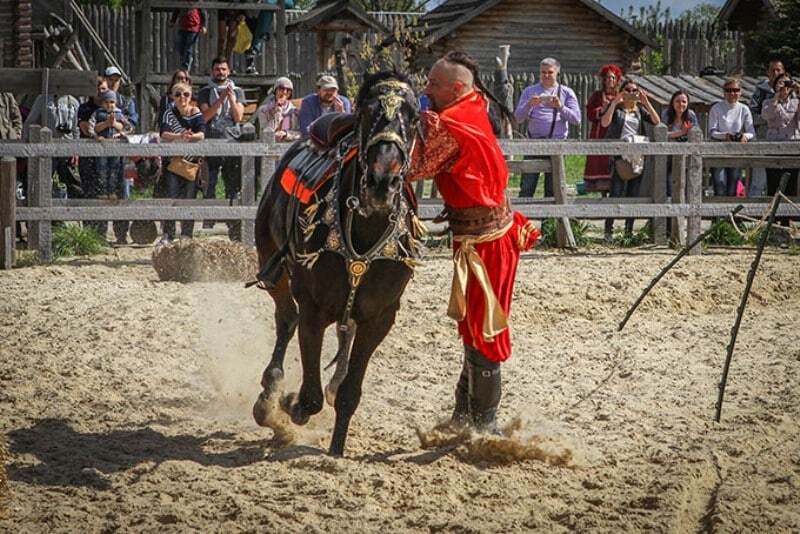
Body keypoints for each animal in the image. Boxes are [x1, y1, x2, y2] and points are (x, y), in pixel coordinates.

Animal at [253, 71, 422, 456]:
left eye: (413, 117)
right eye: (367, 113)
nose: (382, 181)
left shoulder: (380, 318)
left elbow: (348, 393)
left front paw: (336, 449)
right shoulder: (314, 309)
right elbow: (310, 397)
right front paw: (291, 404)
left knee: (343, 333)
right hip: (272, 266)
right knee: (286, 318)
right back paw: (269, 394)